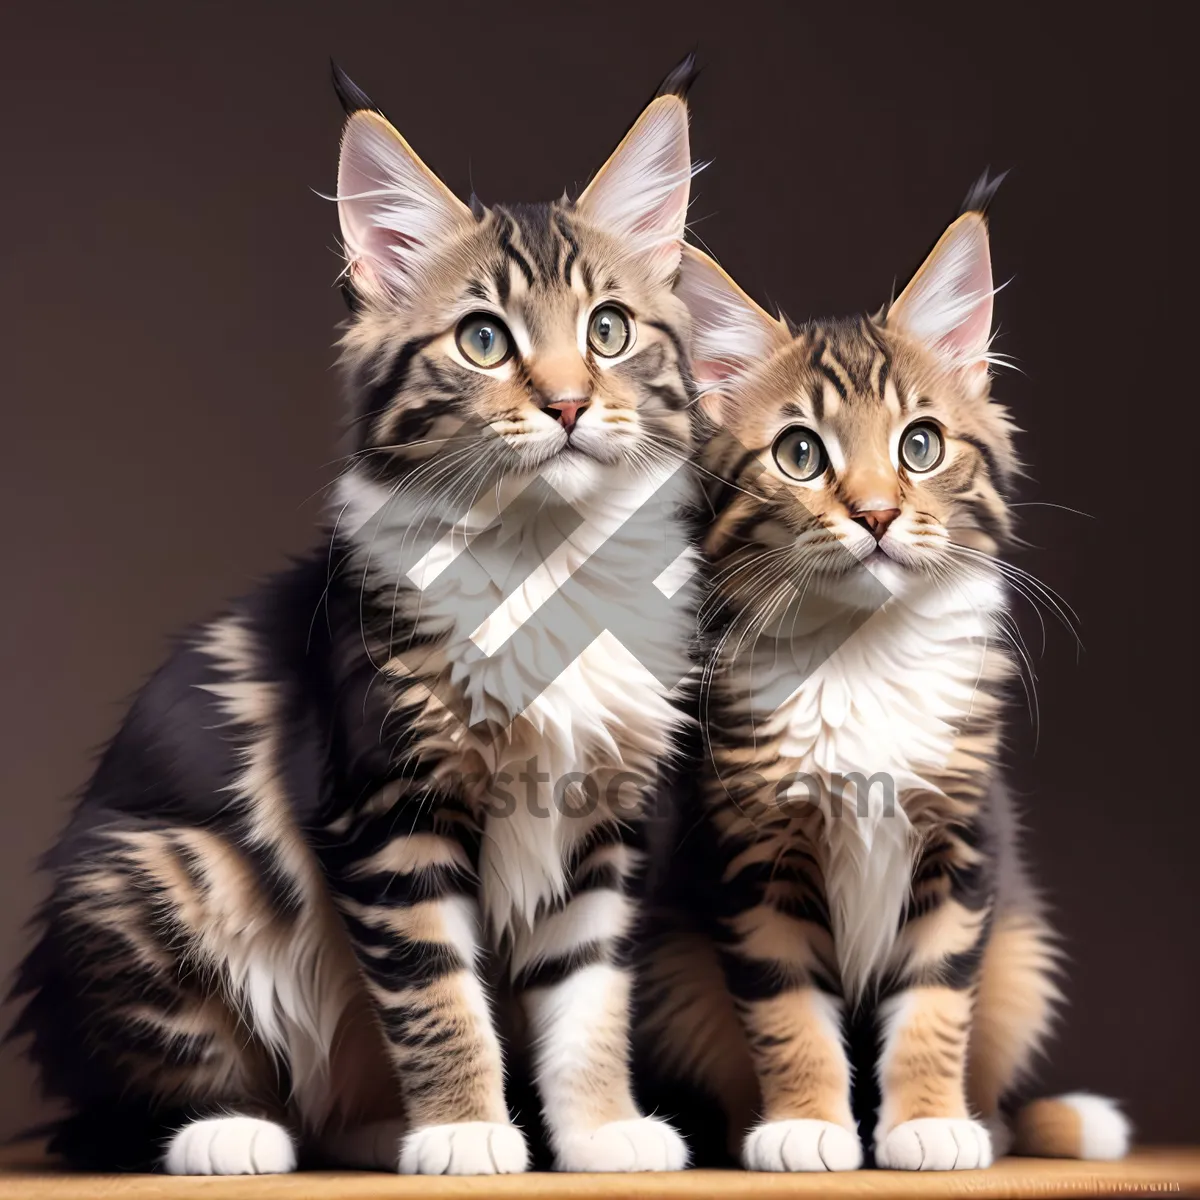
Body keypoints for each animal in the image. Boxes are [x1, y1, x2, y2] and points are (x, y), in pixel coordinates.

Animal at [638, 189, 1132, 1171]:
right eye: (799, 454)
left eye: (921, 445)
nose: (874, 514)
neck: (861, 655)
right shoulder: (755, 856)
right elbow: (788, 1009)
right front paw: (807, 1127)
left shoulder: (962, 845)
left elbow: (935, 1004)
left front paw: (928, 1124)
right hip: (676, 966)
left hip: (1022, 952)